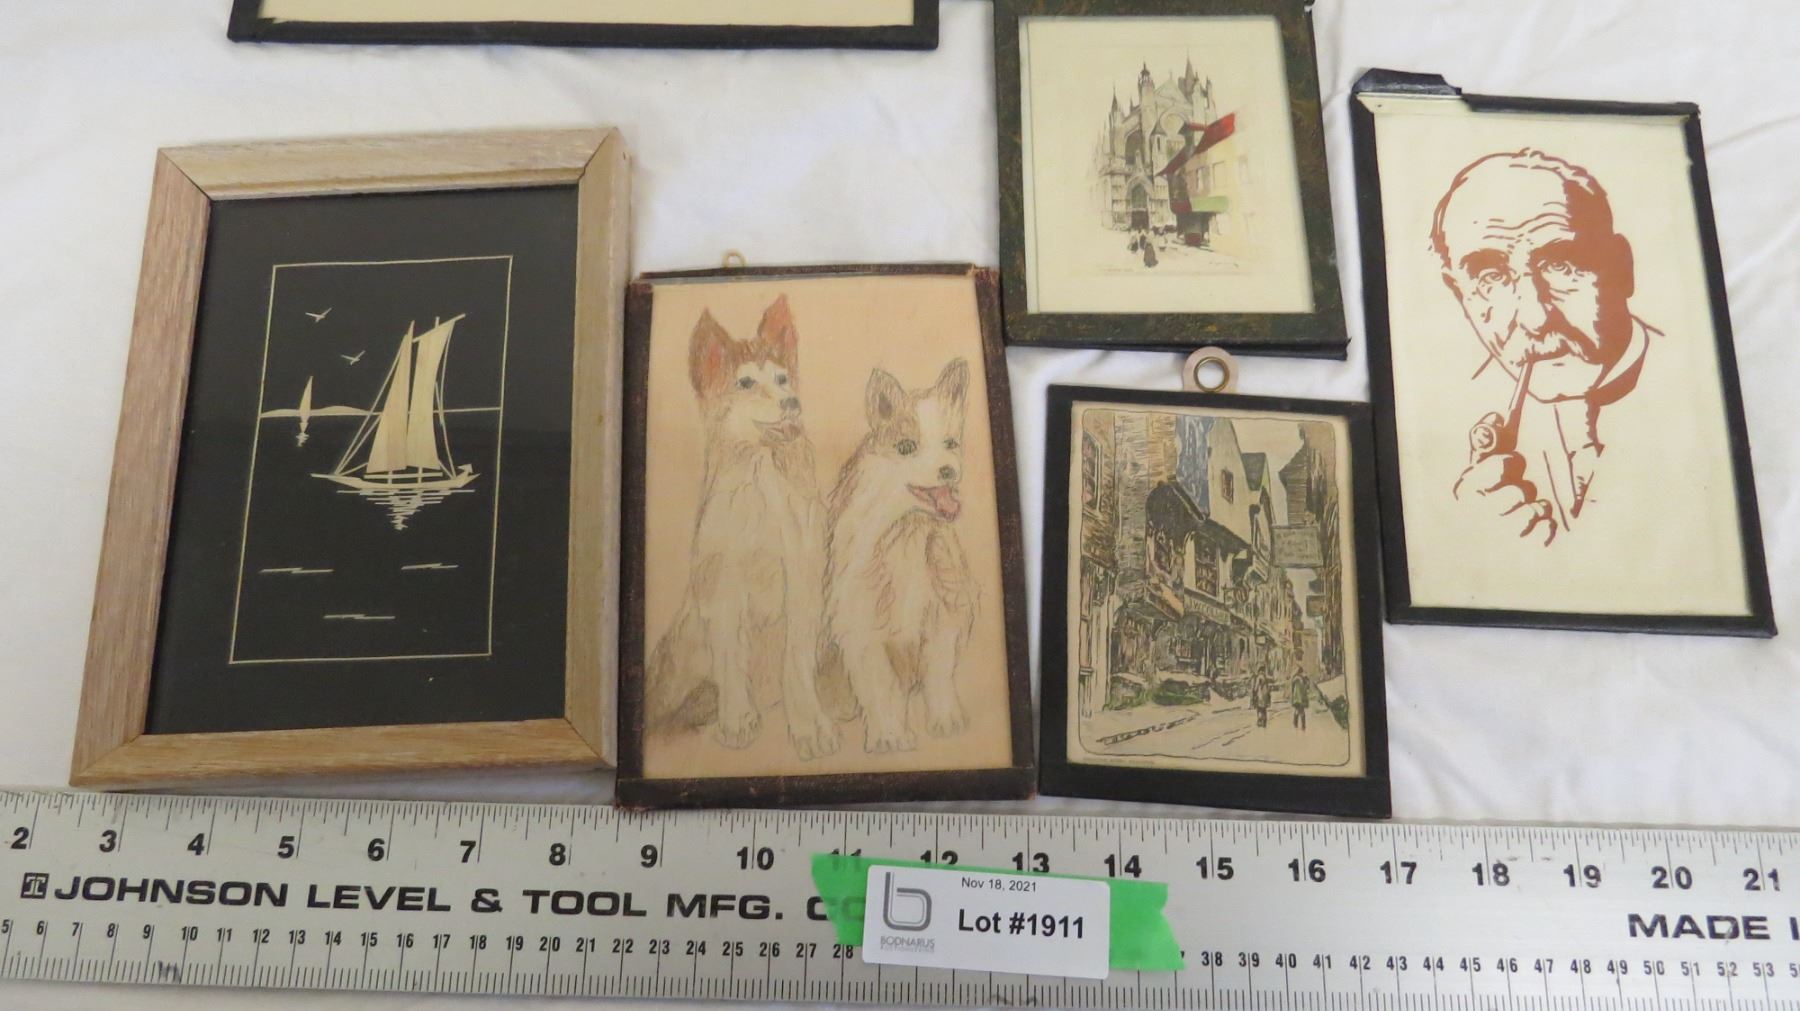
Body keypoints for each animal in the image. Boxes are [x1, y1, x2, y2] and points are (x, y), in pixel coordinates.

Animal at [644, 295, 839, 760]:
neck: (762, 481)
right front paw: (736, 720)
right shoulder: (722, 588)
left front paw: (809, 726)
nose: (791, 403)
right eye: (746, 383)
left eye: (783, 379)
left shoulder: (803, 582)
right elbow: (730, 658)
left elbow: (796, 662)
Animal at [821, 359, 979, 753]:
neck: (906, 532)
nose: (948, 470)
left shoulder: (943, 614)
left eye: (951, 443)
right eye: (907, 447)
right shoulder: (862, 628)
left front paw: (946, 721)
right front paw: (889, 736)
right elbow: (879, 687)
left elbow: (939, 671)